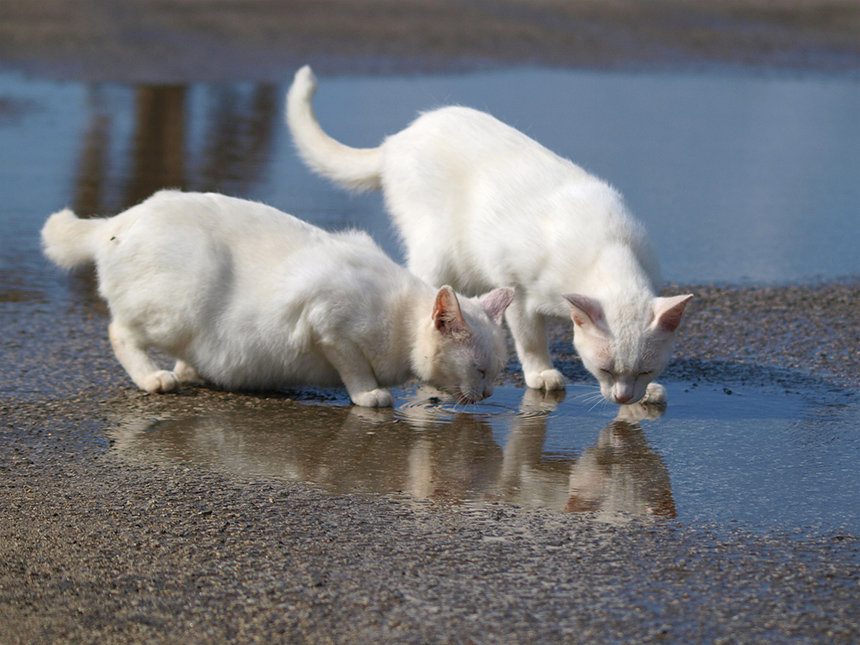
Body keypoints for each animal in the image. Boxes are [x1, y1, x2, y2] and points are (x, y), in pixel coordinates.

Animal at [40, 189, 512, 406]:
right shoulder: (326, 321)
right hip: (179, 304)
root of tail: (119, 219)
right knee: (119, 331)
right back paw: (155, 378)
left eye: (496, 371)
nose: (490, 394)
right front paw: (369, 396)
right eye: (479, 369)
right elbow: (355, 368)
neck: (400, 319)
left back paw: (192, 371)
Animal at [288, 66, 692, 408]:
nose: (624, 398)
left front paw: (648, 394)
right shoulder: (521, 293)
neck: (607, 247)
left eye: (645, 370)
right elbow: (530, 339)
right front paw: (541, 373)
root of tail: (397, 140)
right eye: (606, 369)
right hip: (437, 252)